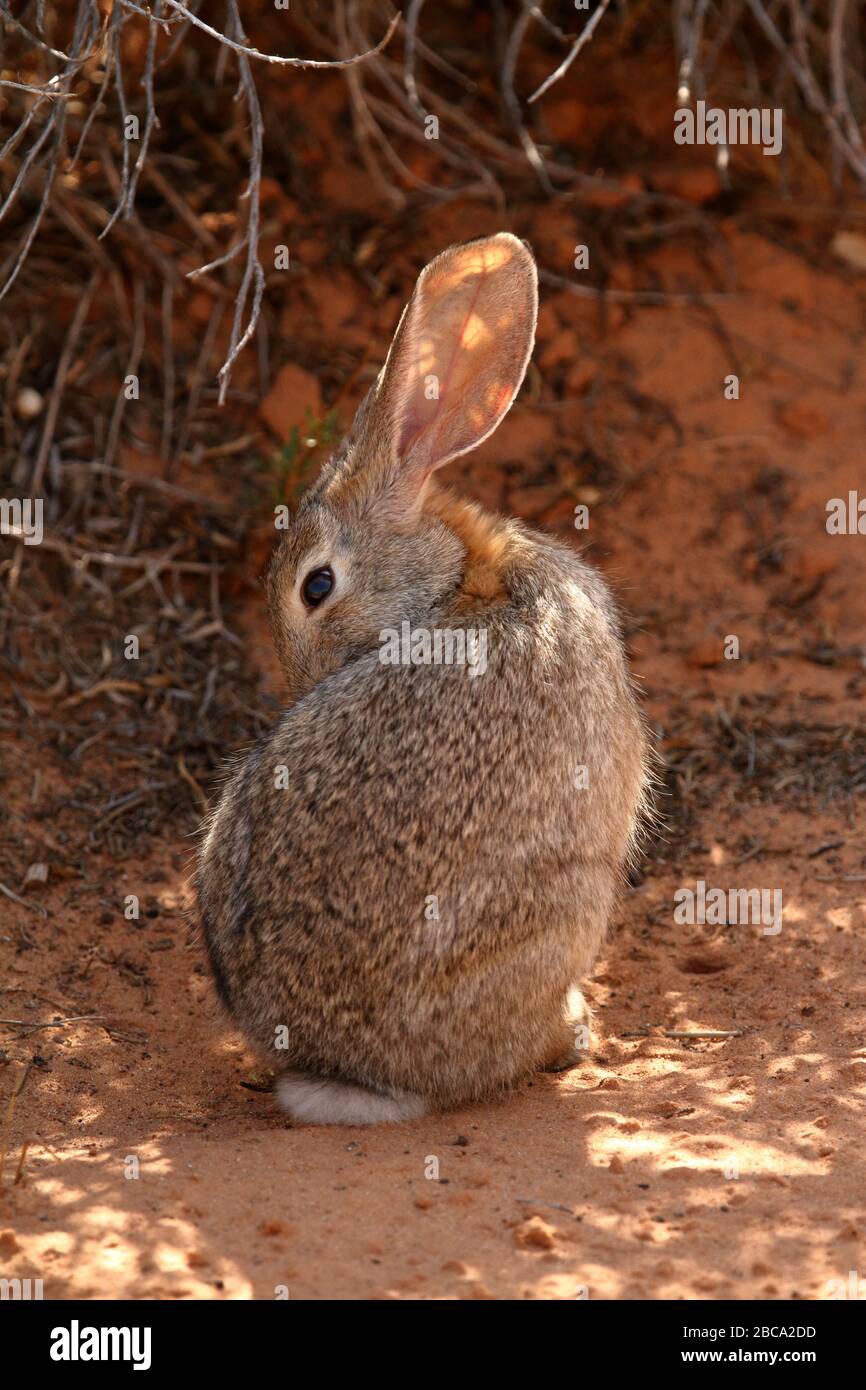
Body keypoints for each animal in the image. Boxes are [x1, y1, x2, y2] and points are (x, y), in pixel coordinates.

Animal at [197, 233, 652, 1125]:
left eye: (316, 586)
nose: (303, 682)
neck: (453, 581)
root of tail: (348, 1069)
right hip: (571, 909)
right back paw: (573, 1030)